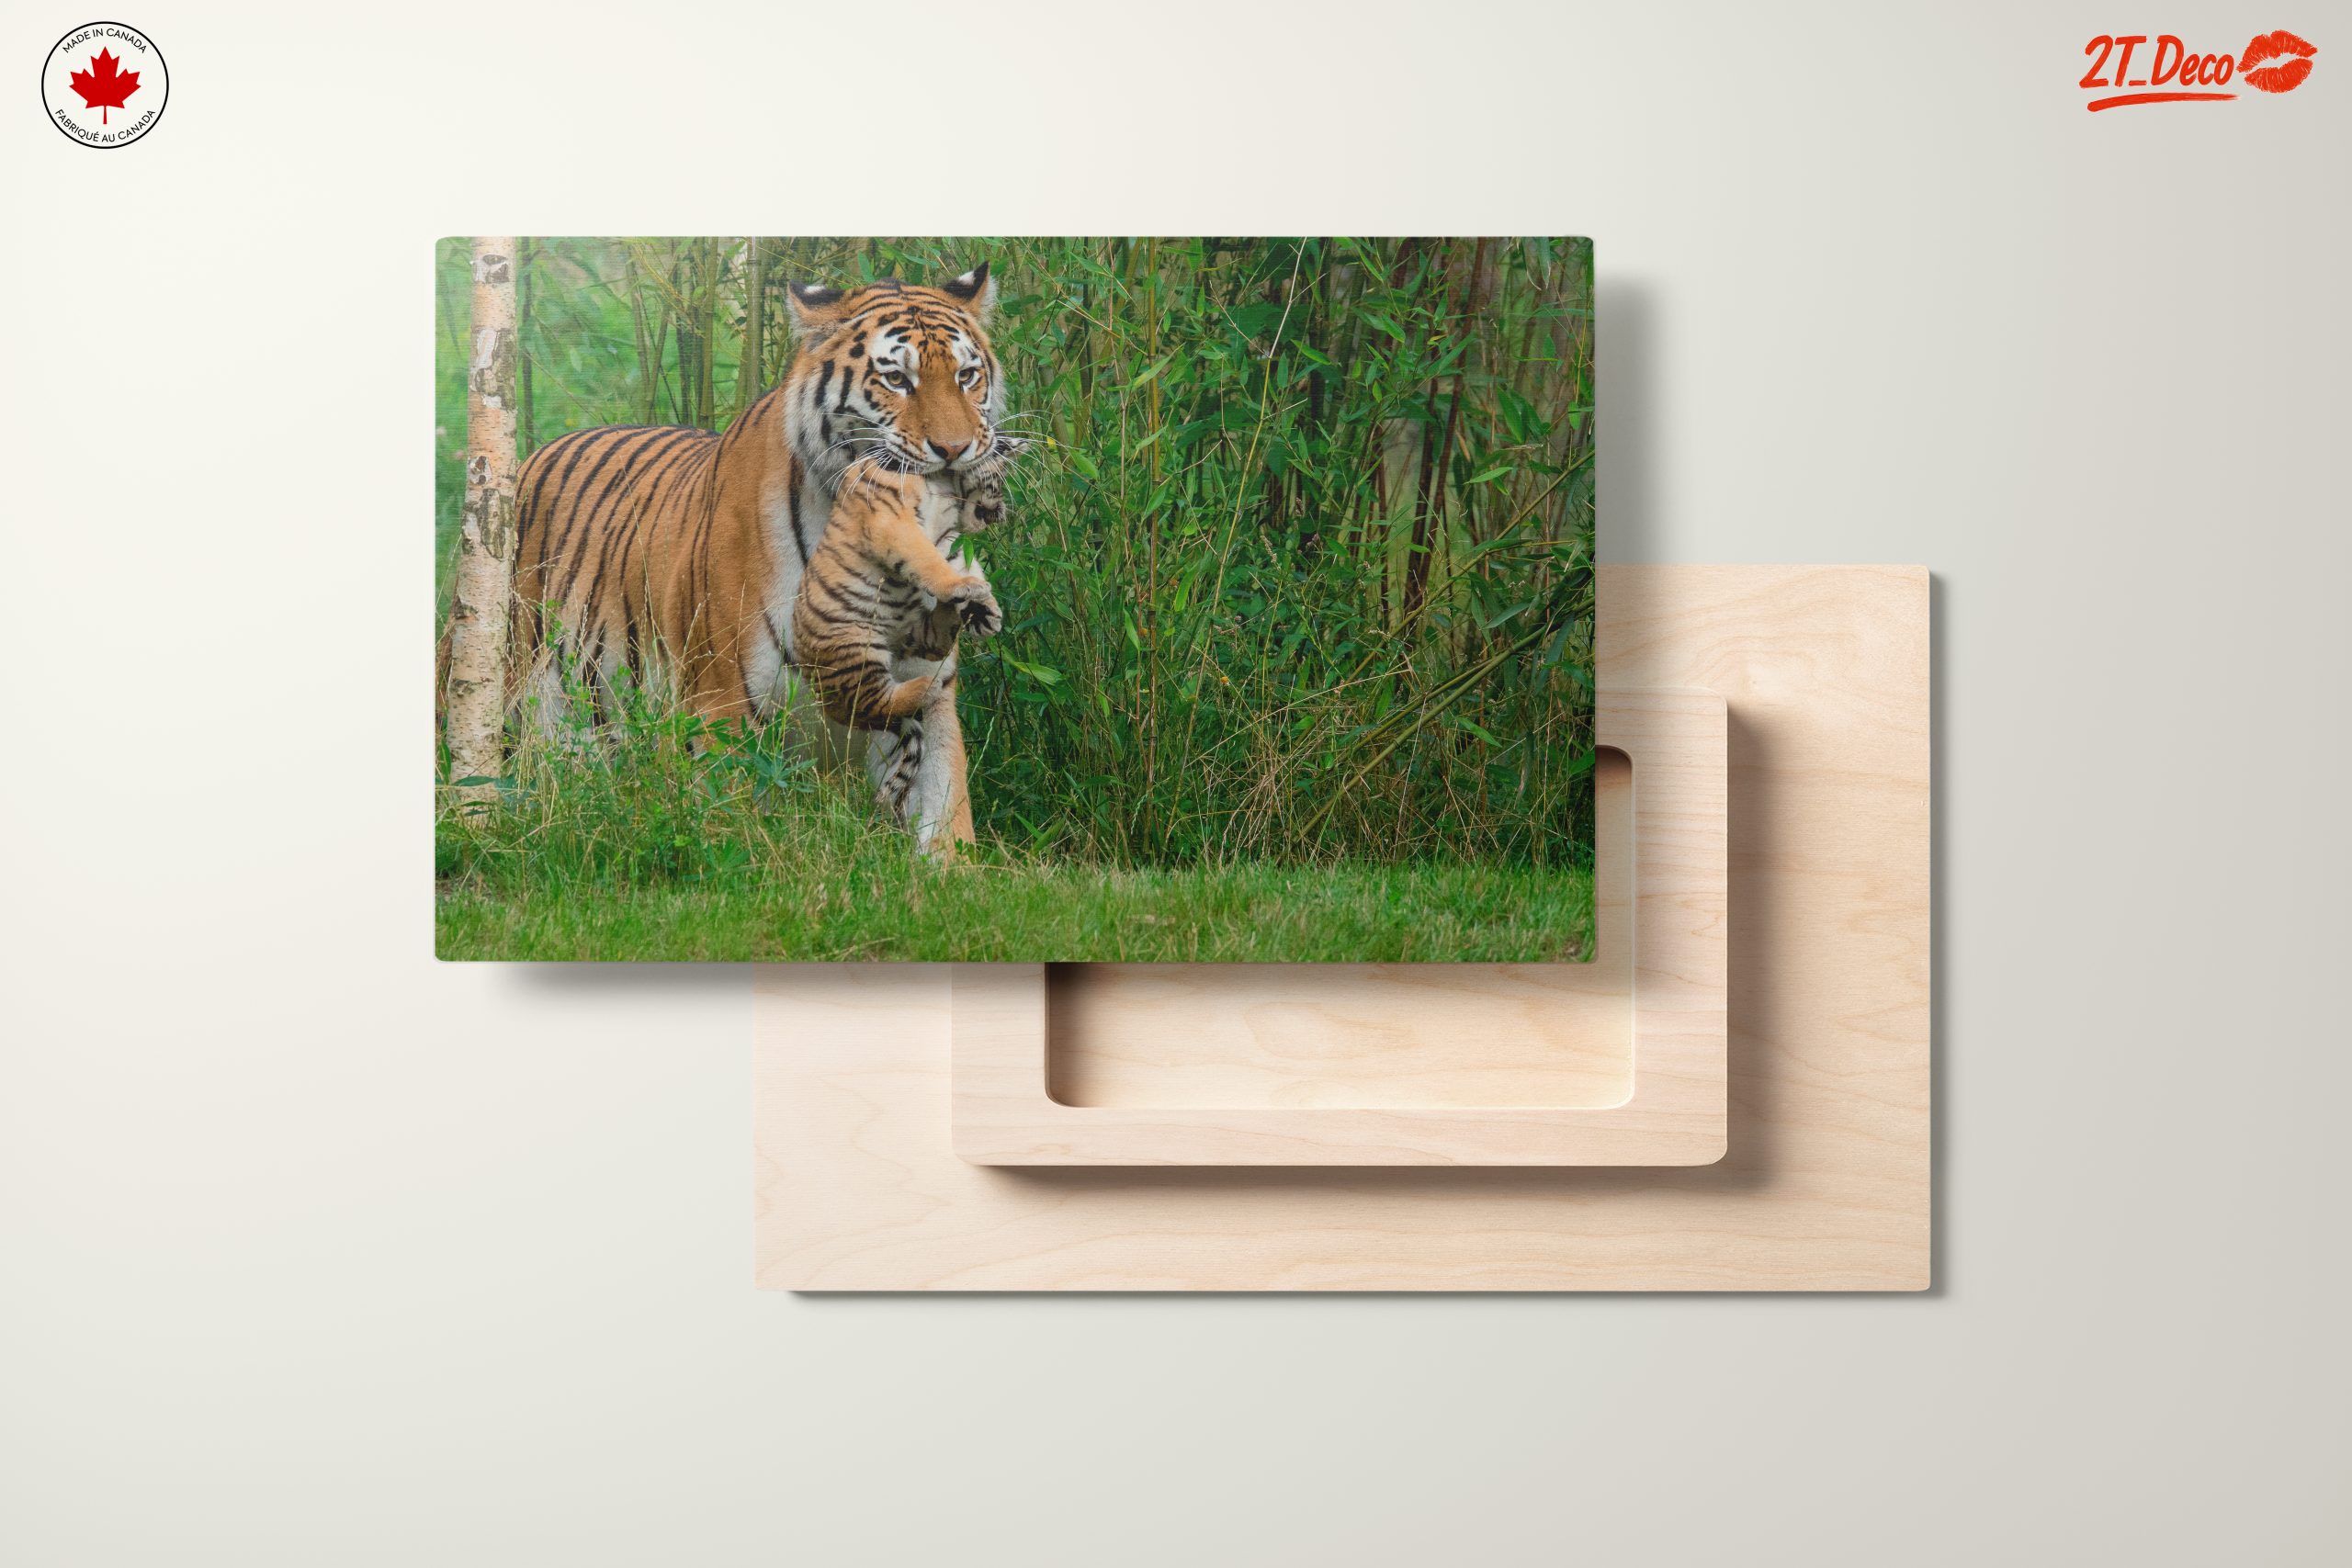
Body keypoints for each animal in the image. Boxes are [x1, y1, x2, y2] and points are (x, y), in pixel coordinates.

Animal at [499, 262, 1008, 855]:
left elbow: (945, 814)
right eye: (897, 380)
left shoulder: (928, 692)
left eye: (967, 376)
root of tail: (533, 456)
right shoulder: (722, 701)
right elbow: (733, 833)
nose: (954, 450)